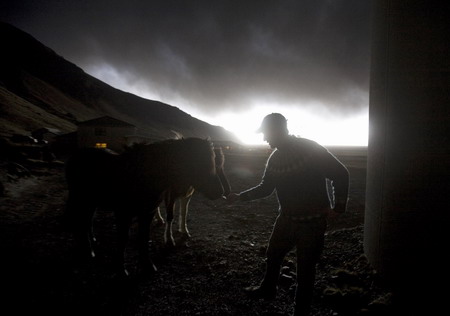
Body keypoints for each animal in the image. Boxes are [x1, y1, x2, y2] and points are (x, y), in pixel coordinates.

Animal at [64, 137, 225, 276]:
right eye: (199, 162)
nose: (220, 191)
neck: (144, 175)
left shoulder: (147, 213)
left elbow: (144, 237)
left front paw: (148, 265)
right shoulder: (123, 213)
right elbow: (123, 238)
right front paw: (121, 269)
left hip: (91, 201)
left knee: (87, 220)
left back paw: (91, 242)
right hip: (80, 198)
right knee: (81, 219)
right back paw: (88, 248)